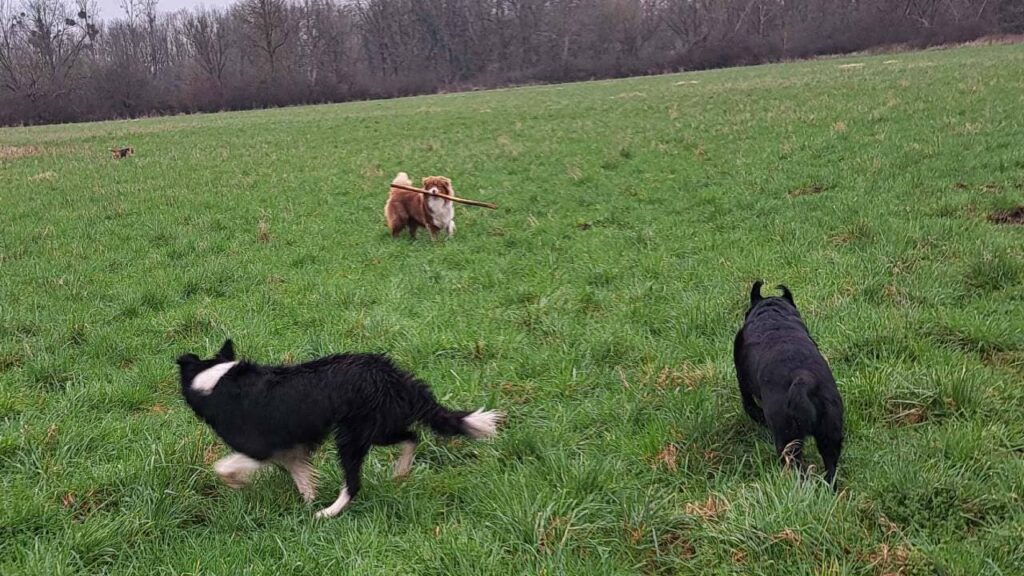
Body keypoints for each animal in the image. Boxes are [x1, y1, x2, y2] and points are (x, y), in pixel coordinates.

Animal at [177, 338, 503, 518]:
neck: (215, 380)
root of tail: (392, 374)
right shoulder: (292, 450)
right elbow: (303, 478)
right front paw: (305, 502)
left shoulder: (260, 446)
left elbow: (224, 467)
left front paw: (237, 483)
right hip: (378, 427)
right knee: (412, 436)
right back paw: (400, 473)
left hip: (350, 436)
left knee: (354, 483)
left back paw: (327, 513)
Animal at [733, 280, 843, 485]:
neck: (773, 316)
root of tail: (803, 379)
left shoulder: (743, 384)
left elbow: (750, 407)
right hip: (831, 431)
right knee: (830, 467)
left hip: (787, 440)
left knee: (797, 469)